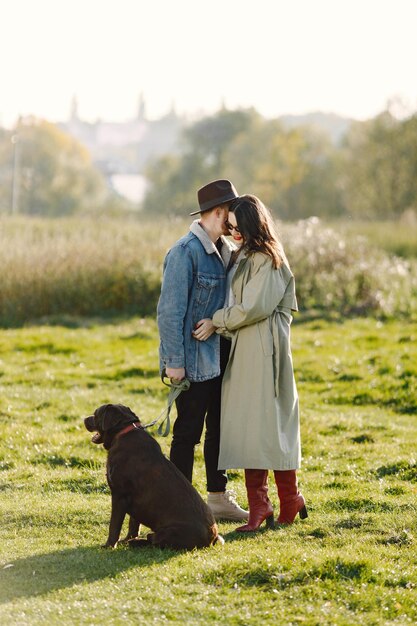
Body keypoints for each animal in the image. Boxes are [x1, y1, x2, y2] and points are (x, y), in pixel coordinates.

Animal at [83, 404, 223, 544]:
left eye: (96, 414)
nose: (84, 419)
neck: (122, 432)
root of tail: (212, 537)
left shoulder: (119, 495)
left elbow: (114, 525)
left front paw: (109, 545)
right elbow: (133, 523)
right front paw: (128, 538)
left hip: (168, 532)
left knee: (153, 540)